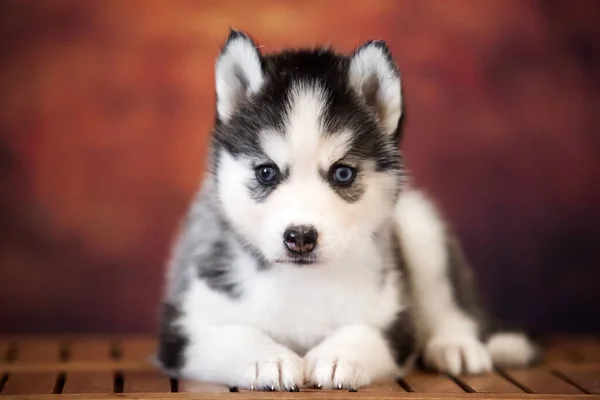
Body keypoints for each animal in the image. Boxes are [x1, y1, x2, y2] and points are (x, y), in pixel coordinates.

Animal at [155, 30, 540, 390]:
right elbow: (230, 334)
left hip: (421, 227)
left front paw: (340, 355)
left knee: (449, 302)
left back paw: (455, 346)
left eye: (343, 173)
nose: (300, 237)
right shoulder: (182, 329)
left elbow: (367, 332)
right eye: (266, 172)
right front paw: (268, 358)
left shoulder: (395, 323)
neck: (302, 281)